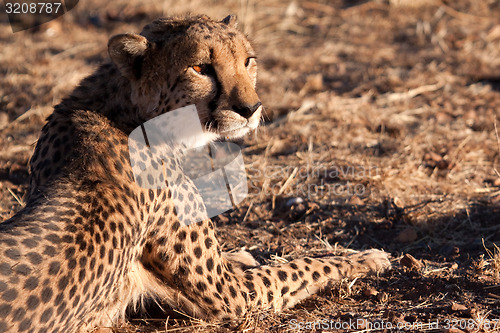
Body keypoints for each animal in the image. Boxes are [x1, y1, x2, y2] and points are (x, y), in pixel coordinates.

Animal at [0, 14, 390, 330]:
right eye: (201, 68)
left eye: (248, 61)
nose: (250, 108)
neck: (120, 110)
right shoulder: (231, 296)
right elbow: (299, 266)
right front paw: (364, 258)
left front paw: (240, 255)